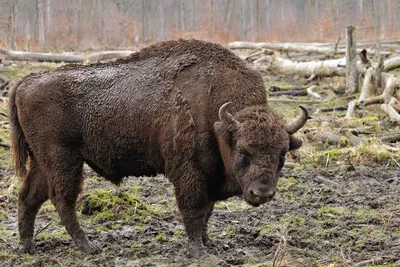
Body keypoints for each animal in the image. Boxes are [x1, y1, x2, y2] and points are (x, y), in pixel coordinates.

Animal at [10, 39, 308, 258]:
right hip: (63, 159)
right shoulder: (188, 171)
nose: (262, 193)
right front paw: (198, 251)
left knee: (29, 196)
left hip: (42, 161)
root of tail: (26, 81)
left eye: (282, 153)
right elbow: (194, 208)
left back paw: (27, 246)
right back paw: (88, 246)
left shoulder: (209, 175)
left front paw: (208, 242)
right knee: (62, 199)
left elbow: (207, 211)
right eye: (244, 151)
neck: (218, 120)